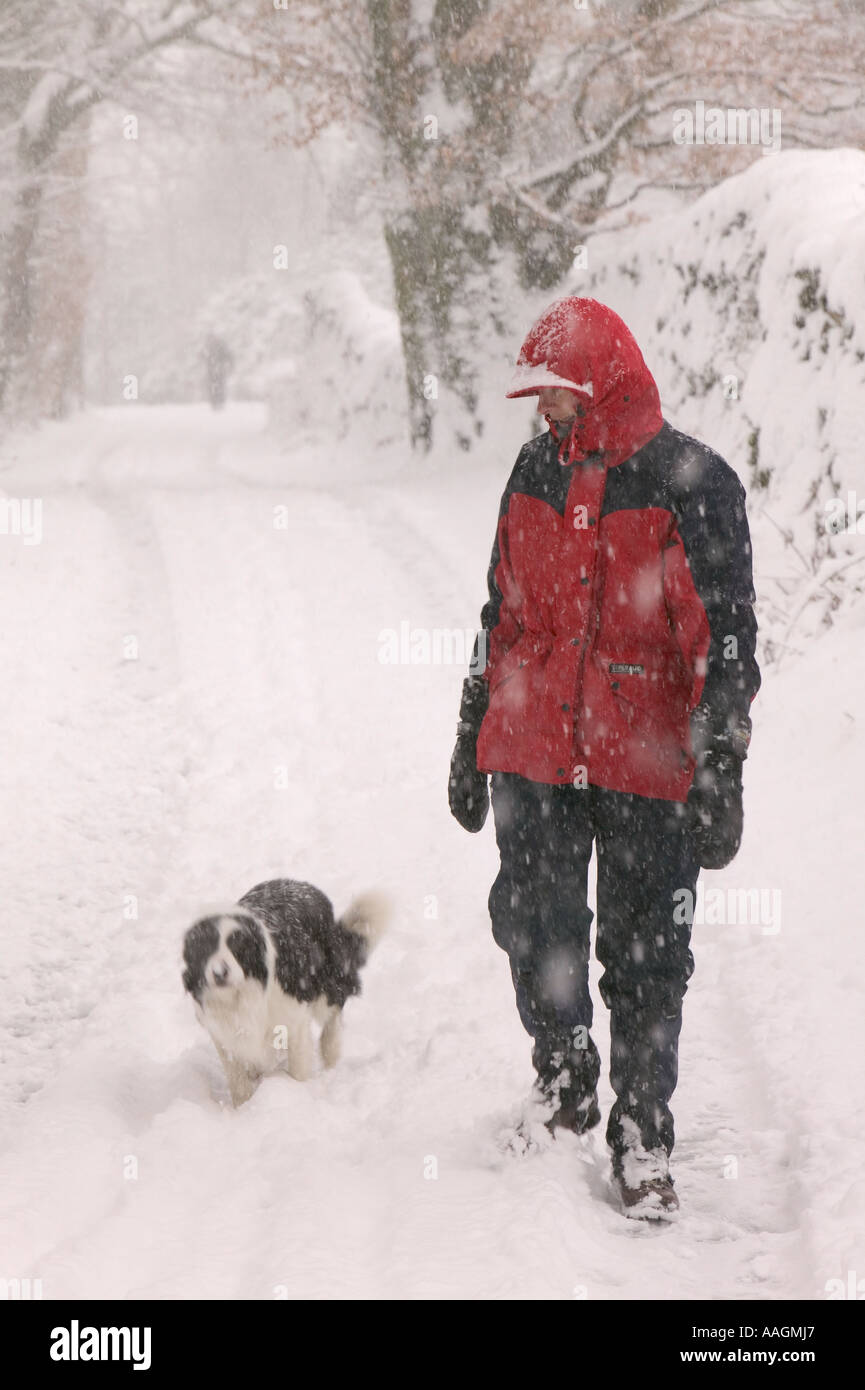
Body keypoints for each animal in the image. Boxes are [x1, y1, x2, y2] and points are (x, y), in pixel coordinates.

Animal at [183, 878, 389, 1106]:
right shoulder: (224, 1033)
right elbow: (237, 1080)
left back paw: (330, 1055)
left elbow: (298, 1068)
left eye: (238, 947)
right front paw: (243, 1107)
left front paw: (296, 1093)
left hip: (326, 981)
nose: (220, 972)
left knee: (333, 1014)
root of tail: (301, 884)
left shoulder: (293, 1019)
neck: (243, 992)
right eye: (204, 948)